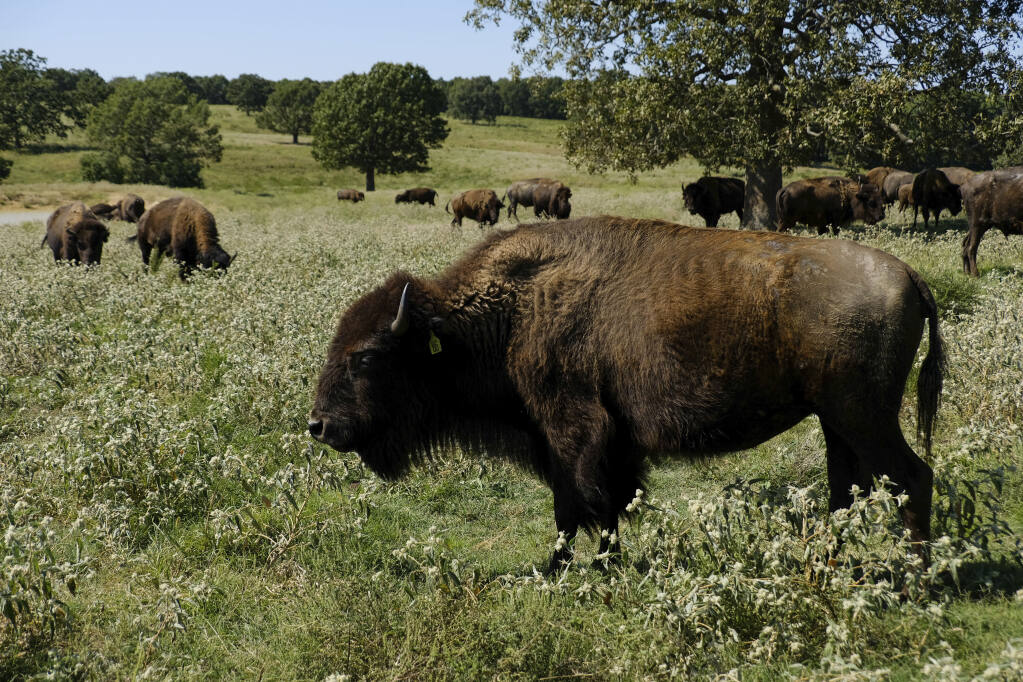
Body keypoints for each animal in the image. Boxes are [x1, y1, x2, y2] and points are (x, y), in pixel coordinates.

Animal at [309, 216, 944, 572]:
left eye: (366, 357)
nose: (319, 426)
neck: (508, 313)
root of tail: (907, 274)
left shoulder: (570, 433)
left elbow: (575, 506)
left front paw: (561, 568)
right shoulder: (610, 443)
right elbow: (608, 505)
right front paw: (604, 564)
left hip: (864, 418)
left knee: (913, 477)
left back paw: (914, 580)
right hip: (837, 423)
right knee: (848, 490)